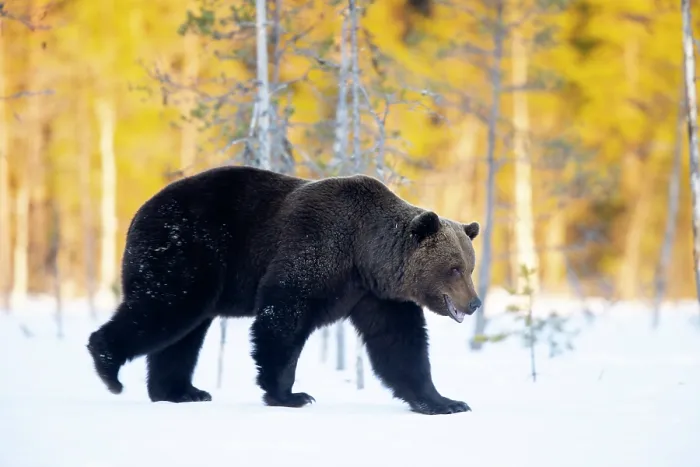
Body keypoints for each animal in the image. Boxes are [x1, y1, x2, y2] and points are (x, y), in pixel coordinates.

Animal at [86, 165, 482, 415]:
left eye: (469, 265)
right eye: (454, 268)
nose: (475, 302)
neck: (364, 255)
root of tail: (140, 210)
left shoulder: (376, 295)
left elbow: (400, 345)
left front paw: (445, 402)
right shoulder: (314, 250)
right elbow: (282, 320)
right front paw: (291, 394)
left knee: (183, 334)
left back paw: (181, 391)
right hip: (188, 251)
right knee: (164, 308)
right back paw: (108, 366)